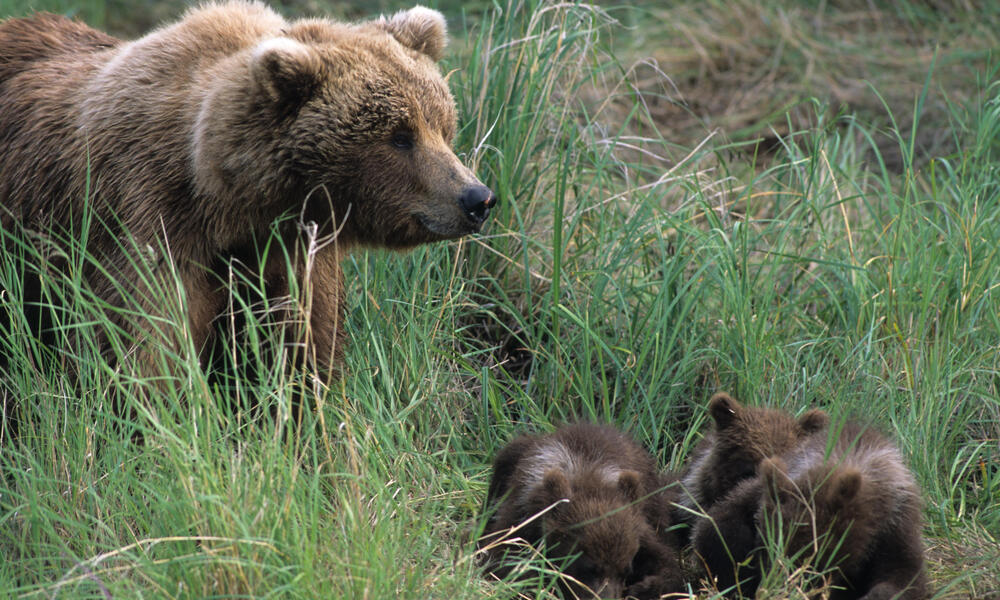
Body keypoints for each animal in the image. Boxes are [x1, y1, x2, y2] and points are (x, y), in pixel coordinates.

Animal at [478, 422, 684, 600]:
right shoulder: (522, 513)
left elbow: (666, 562)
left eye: (625, 569)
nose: (605, 597)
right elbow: (503, 557)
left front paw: (645, 587)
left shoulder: (644, 524)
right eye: (588, 567)